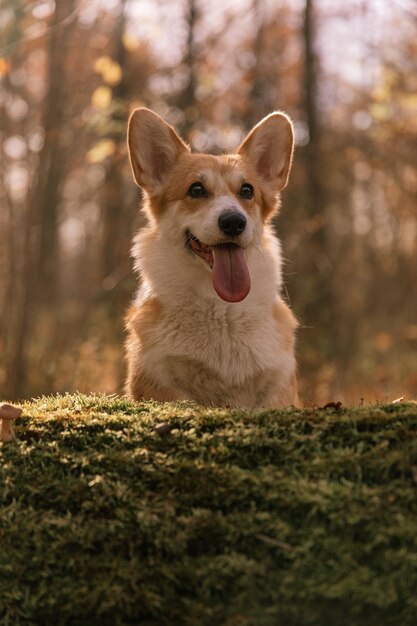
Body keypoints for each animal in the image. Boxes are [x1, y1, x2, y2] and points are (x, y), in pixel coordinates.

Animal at [125, 109, 298, 408]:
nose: (234, 222)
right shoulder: (159, 382)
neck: (220, 309)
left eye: (247, 191)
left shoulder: (279, 389)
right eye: (196, 190)